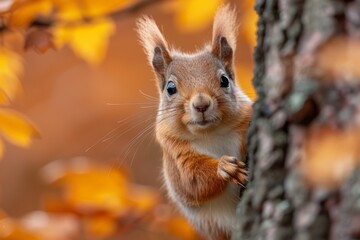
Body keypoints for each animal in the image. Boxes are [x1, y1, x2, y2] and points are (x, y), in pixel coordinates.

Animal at [136, 4, 252, 239]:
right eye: (170, 88)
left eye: (224, 80)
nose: (201, 104)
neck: (212, 133)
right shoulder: (176, 154)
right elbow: (192, 182)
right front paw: (225, 167)